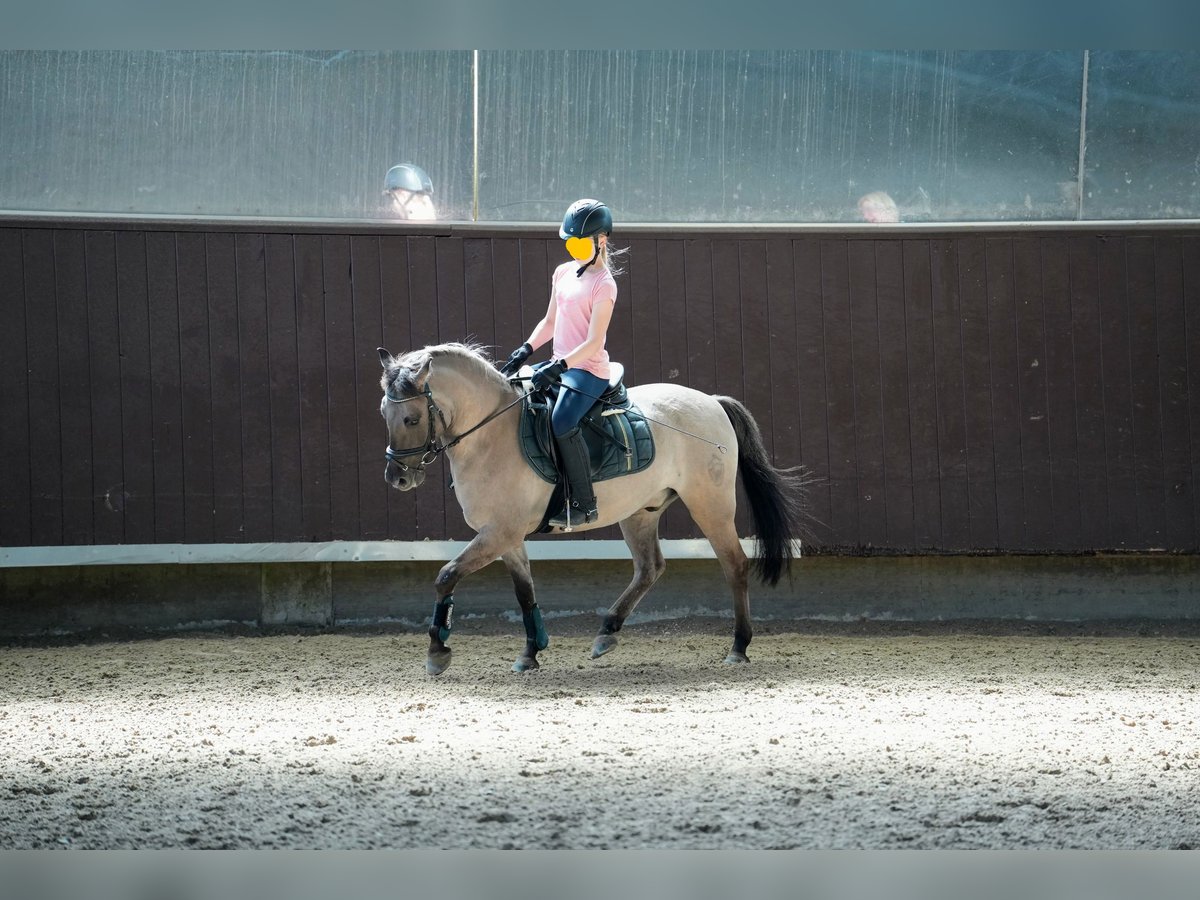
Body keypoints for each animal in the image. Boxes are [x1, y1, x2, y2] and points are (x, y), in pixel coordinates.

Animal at [374, 345, 806, 676]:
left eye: (411, 418)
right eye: (384, 413)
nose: (397, 477)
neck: (490, 435)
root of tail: (711, 402)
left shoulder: (498, 533)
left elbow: (446, 576)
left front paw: (437, 652)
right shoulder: (505, 536)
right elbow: (524, 591)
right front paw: (531, 652)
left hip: (710, 504)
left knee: (734, 564)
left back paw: (738, 647)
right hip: (641, 511)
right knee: (649, 568)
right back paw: (606, 633)